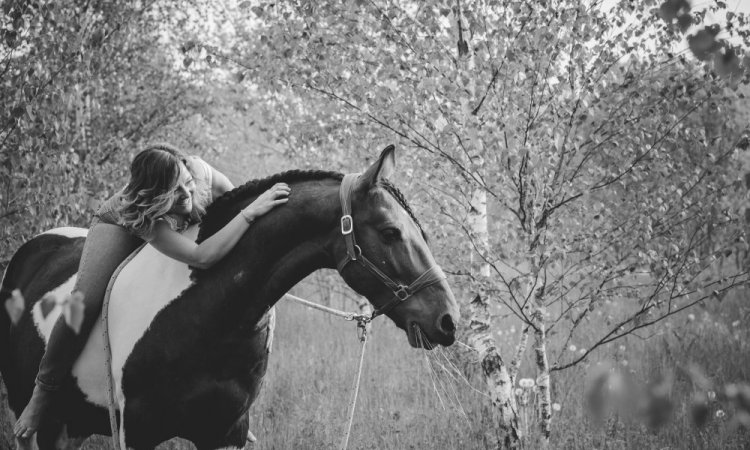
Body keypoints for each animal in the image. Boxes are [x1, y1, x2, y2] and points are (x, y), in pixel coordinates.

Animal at [0, 146, 458, 448]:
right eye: (390, 232)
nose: (448, 319)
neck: (204, 314)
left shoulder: (225, 433)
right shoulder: (138, 433)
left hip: (72, 426)